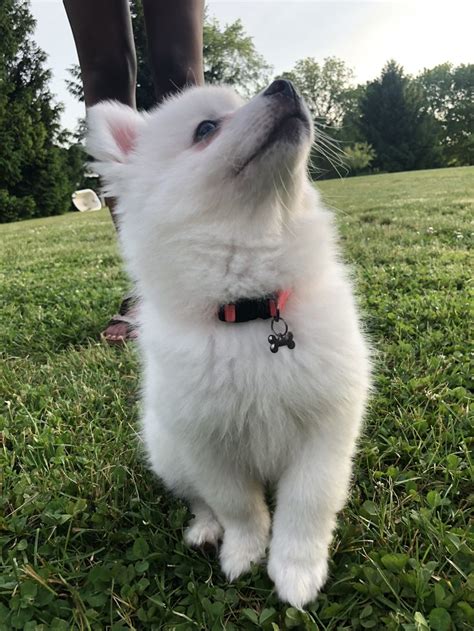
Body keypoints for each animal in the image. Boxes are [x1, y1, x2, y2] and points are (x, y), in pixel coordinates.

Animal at [88, 79, 370, 608]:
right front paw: (244, 552)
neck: (252, 312)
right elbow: (237, 505)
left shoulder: (325, 430)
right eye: (205, 129)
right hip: (169, 453)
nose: (284, 83)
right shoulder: (207, 444)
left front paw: (296, 572)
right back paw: (203, 530)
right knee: (199, 499)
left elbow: (307, 504)